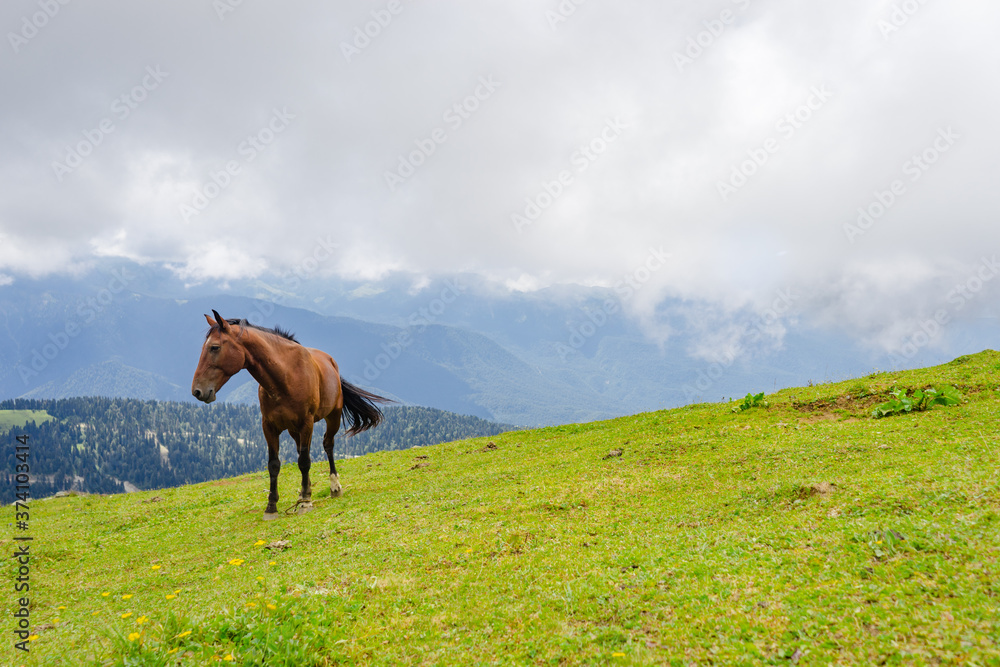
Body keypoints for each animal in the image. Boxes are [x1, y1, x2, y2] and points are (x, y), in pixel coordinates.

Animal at [190, 310, 391, 520]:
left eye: (214, 347)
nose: (197, 391)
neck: (285, 377)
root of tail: (331, 362)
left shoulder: (307, 423)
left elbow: (304, 461)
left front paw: (305, 503)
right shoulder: (269, 426)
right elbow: (274, 464)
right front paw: (272, 506)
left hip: (332, 417)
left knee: (328, 445)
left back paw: (334, 487)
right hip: (295, 430)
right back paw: (305, 490)